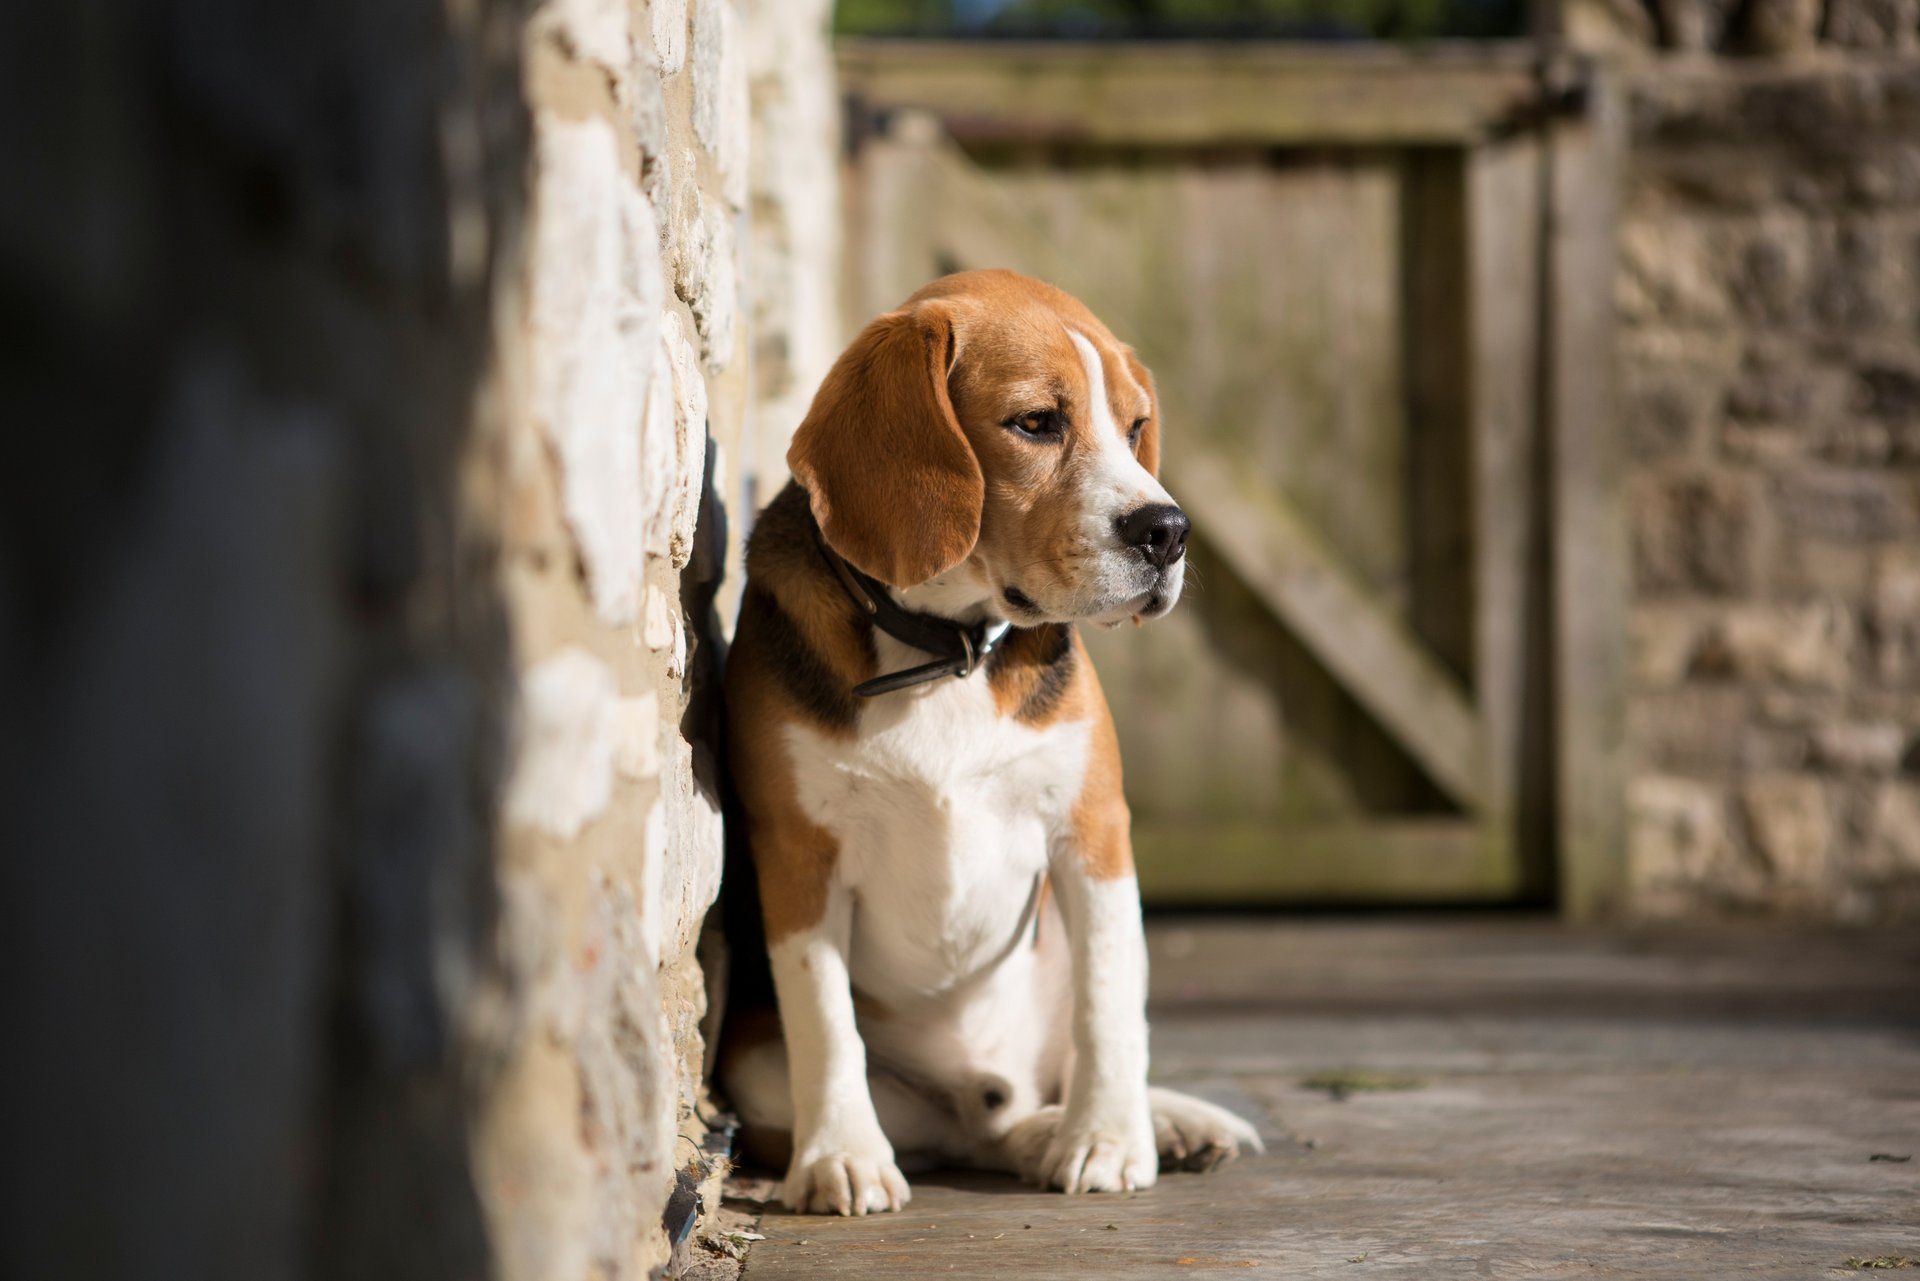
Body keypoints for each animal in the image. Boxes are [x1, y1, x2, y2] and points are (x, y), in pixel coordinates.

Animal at [721, 268, 1259, 1213]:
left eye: (1134, 428)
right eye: (1036, 422)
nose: (1168, 530)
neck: (949, 653)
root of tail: (989, 1085)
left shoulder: (1094, 831)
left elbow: (1110, 1006)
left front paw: (1109, 1139)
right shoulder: (797, 855)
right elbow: (824, 1018)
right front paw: (839, 1156)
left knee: (1061, 1067)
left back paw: (1151, 1122)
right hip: (756, 1064)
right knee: (971, 1132)